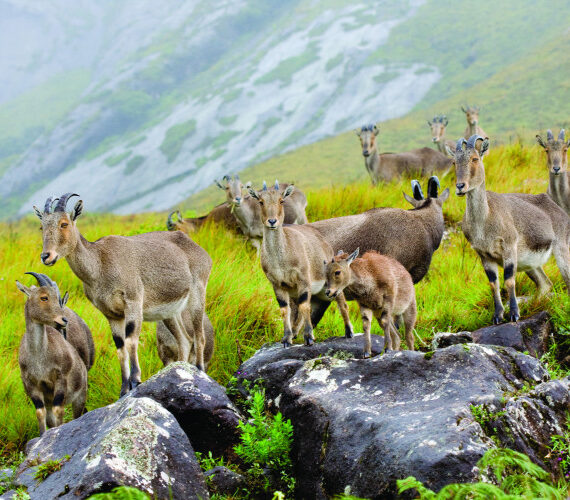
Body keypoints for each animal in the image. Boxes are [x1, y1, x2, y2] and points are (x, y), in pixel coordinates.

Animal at [16, 274, 87, 434]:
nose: (64, 320)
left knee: (77, 414)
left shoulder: (61, 377)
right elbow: (40, 412)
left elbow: (58, 409)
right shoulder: (31, 383)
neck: (39, 358)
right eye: (44, 297)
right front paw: (42, 435)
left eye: (57, 298)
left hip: (80, 396)